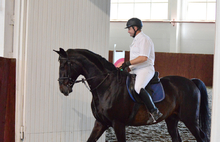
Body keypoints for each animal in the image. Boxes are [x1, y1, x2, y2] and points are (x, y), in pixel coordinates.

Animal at [54, 48, 211, 142]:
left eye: (64, 65)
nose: (63, 89)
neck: (106, 86)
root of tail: (191, 82)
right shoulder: (101, 123)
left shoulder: (118, 124)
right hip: (172, 119)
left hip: (190, 120)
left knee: (202, 138)